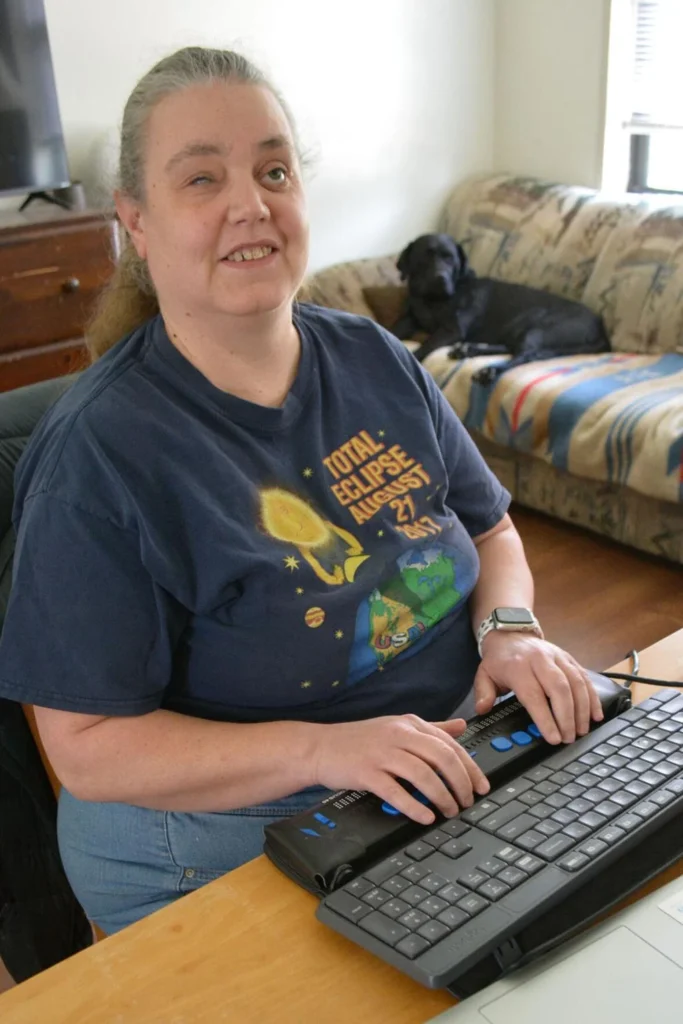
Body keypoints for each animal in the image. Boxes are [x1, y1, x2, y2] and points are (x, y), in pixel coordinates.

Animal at [393, 234, 610, 382]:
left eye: (450, 258)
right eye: (426, 256)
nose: (441, 279)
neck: (432, 300)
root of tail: (600, 327)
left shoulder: (452, 330)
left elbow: (426, 344)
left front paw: (411, 358)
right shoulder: (410, 318)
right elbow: (394, 330)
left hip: (537, 325)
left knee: (527, 354)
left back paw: (490, 370)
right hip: (519, 328)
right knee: (514, 347)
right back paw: (468, 349)